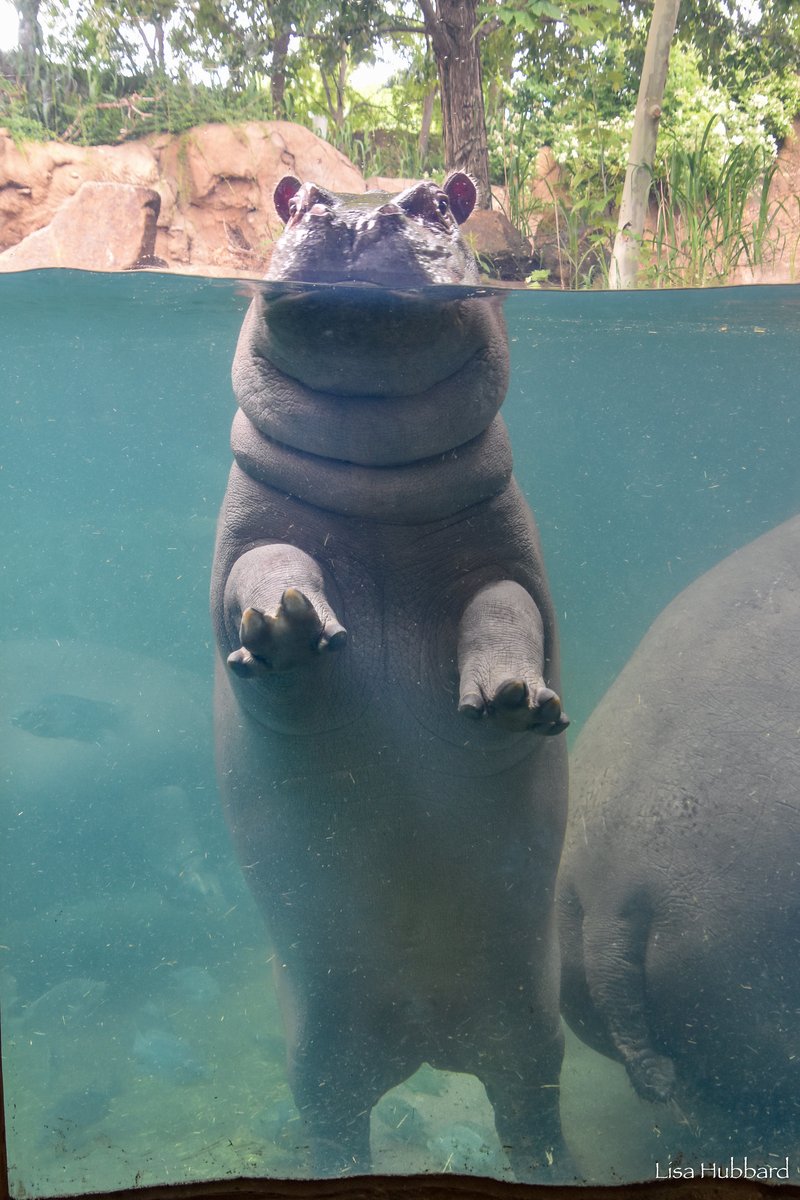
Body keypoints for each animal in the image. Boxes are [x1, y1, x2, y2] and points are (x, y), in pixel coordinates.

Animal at [211, 174, 570, 1178]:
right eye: (292, 196)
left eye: (444, 198)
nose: (361, 212)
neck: (377, 477)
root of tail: (427, 1036)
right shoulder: (253, 533)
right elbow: (269, 567)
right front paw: (284, 627)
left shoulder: (500, 557)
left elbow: (504, 614)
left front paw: (512, 699)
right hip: (319, 1052)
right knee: (333, 1121)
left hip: (533, 1034)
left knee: (533, 1117)